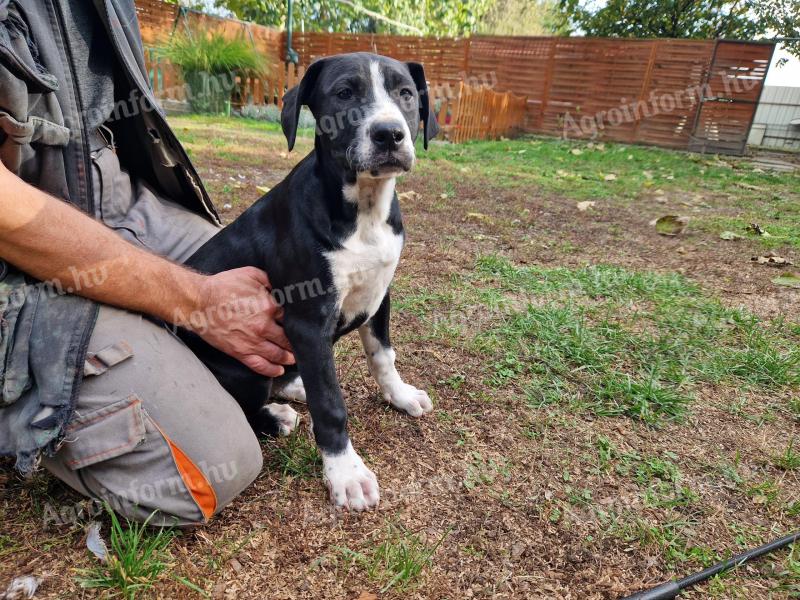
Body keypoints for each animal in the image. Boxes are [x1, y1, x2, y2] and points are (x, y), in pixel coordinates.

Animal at [183, 54, 438, 508]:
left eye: (406, 93)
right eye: (344, 93)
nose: (389, 133)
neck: (364, 210)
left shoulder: (380, 296)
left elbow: (383, 357)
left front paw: (401, 395)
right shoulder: (307, 321)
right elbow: (330, 403)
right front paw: (346, 474)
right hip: (241, 367)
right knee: (248, 402)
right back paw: (276, 416)